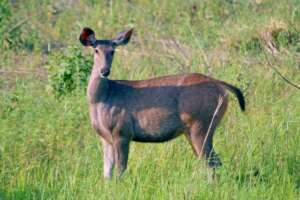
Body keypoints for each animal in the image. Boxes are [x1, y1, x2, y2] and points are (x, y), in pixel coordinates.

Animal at [78, 27, 245, 180]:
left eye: (113, 51)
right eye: (96, 50)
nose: (105, 71)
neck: (102, 98)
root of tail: (221, 86)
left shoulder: (122, 131)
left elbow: (121, 169)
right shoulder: (105, 137)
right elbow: (107, 172)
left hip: (201, 124)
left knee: (212, 161)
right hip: (194, 129)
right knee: (210, 160)